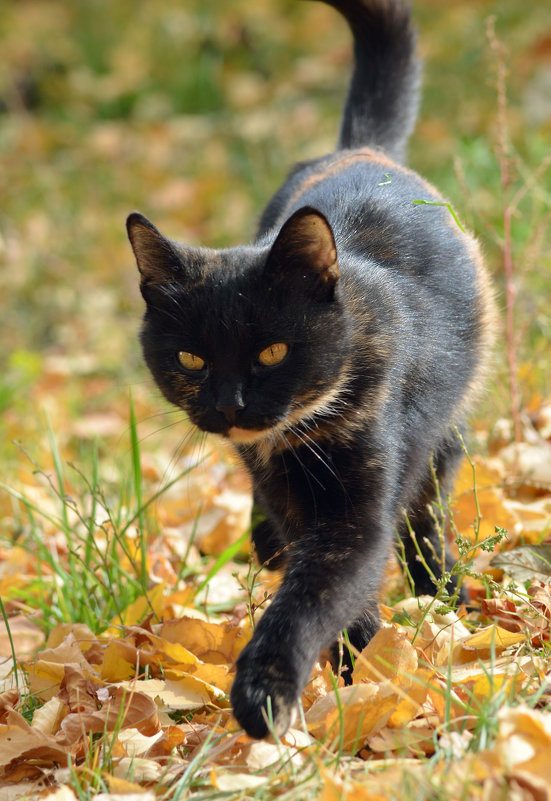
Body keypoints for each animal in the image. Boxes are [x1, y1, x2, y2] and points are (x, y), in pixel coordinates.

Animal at [128, 0, 496, 736]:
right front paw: (362, 676)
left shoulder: (357, 511)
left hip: (444, 432)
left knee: (426, 511)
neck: (300, 436)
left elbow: (315, 593)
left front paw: (280, 692)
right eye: (190, 357)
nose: (229, 404)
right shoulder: (286, 491)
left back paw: (443, 588)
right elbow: (323, 583)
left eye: (272, 351)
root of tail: (363, 148)